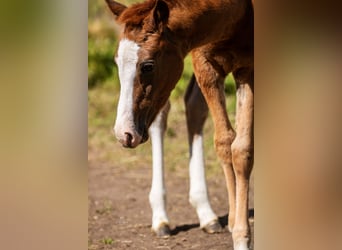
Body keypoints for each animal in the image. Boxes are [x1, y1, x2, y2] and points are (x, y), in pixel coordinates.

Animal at [105, 0, 252, 249]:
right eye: (116, 61)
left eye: (147, 66)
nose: (123, 133)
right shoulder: (205, 62)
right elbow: (226, 143)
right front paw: (238, 230)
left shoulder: (248, 67)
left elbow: (241, 149)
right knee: (164, 115)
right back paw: (161, 217)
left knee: (193, 105)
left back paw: (206, 214)